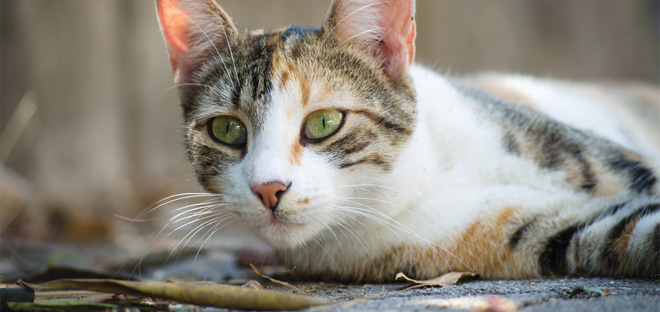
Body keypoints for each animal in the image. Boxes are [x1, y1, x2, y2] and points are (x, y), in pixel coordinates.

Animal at [156, 0, 660, 282]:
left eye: (324, 123)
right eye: (227, 130)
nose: (268, 188)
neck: (422, 180)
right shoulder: (536, 233)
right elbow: (621, 232)